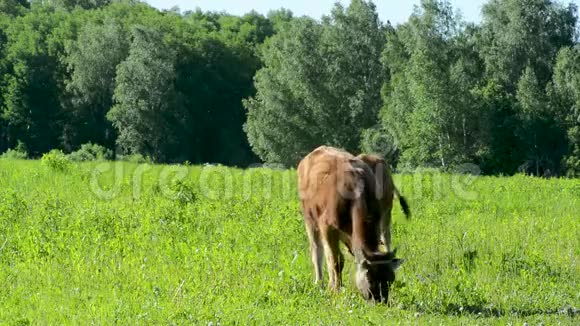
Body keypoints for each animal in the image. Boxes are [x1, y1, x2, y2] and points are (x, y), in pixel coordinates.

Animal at [296, 146, 410, 304]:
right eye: (370, 279)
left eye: (391, 280)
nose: (381, 301)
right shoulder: (327, 227)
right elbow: (336, 260)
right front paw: (335, 289)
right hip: (310, 219)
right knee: (317, 250)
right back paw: (320, 282)